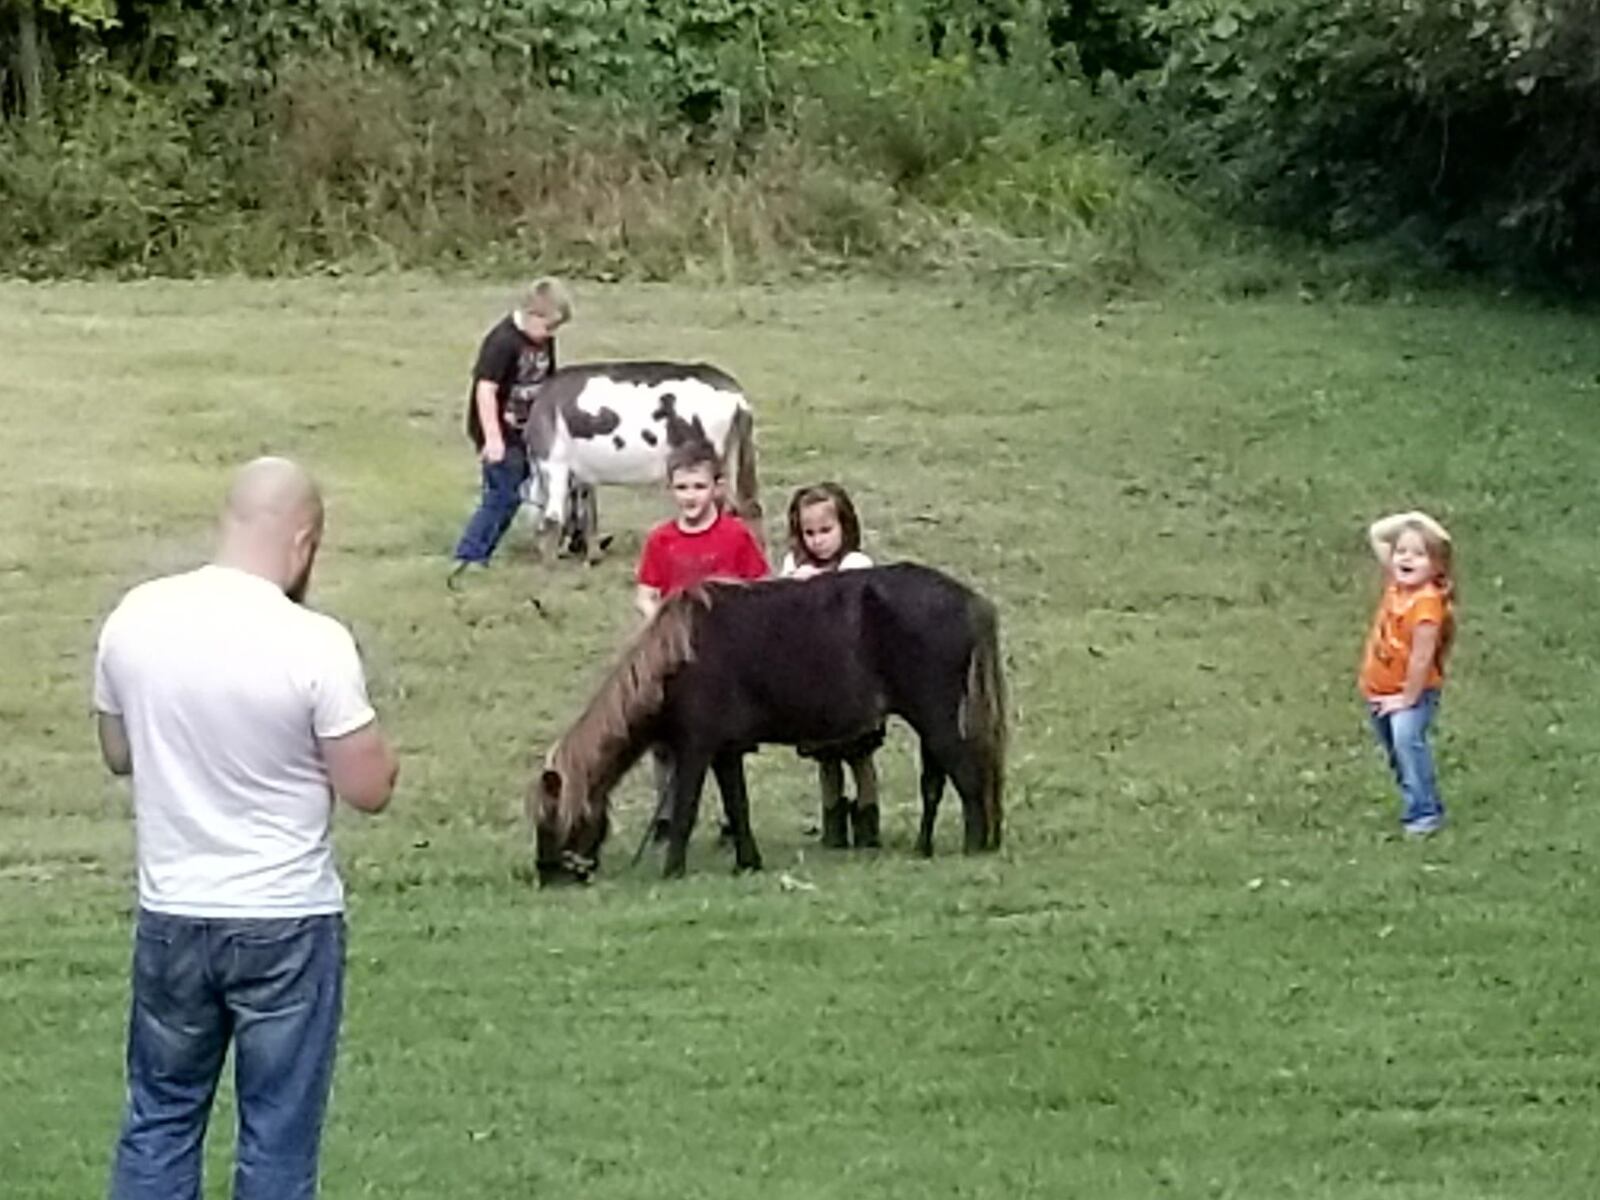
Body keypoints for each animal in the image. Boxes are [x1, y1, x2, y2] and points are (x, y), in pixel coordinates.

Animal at [518, 360, 755, 563]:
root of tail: (735, 394)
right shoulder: (583, 475)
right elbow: (589, 512)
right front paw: (593, 556)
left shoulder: (553, 462)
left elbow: (553, 517)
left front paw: (549, 564)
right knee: (749, 509)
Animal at [531, 563, 1004, 883]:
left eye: (551, 820)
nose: (546, 876)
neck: (674, 662)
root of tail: (971, 601)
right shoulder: (724, 752)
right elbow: (737, 806)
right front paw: (748, 863)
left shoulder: (697, 749)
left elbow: (685, 810)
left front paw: (672, 871)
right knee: (936, 782)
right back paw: (926, 848)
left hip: (935, 718)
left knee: (967, 778)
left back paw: (972, 847)